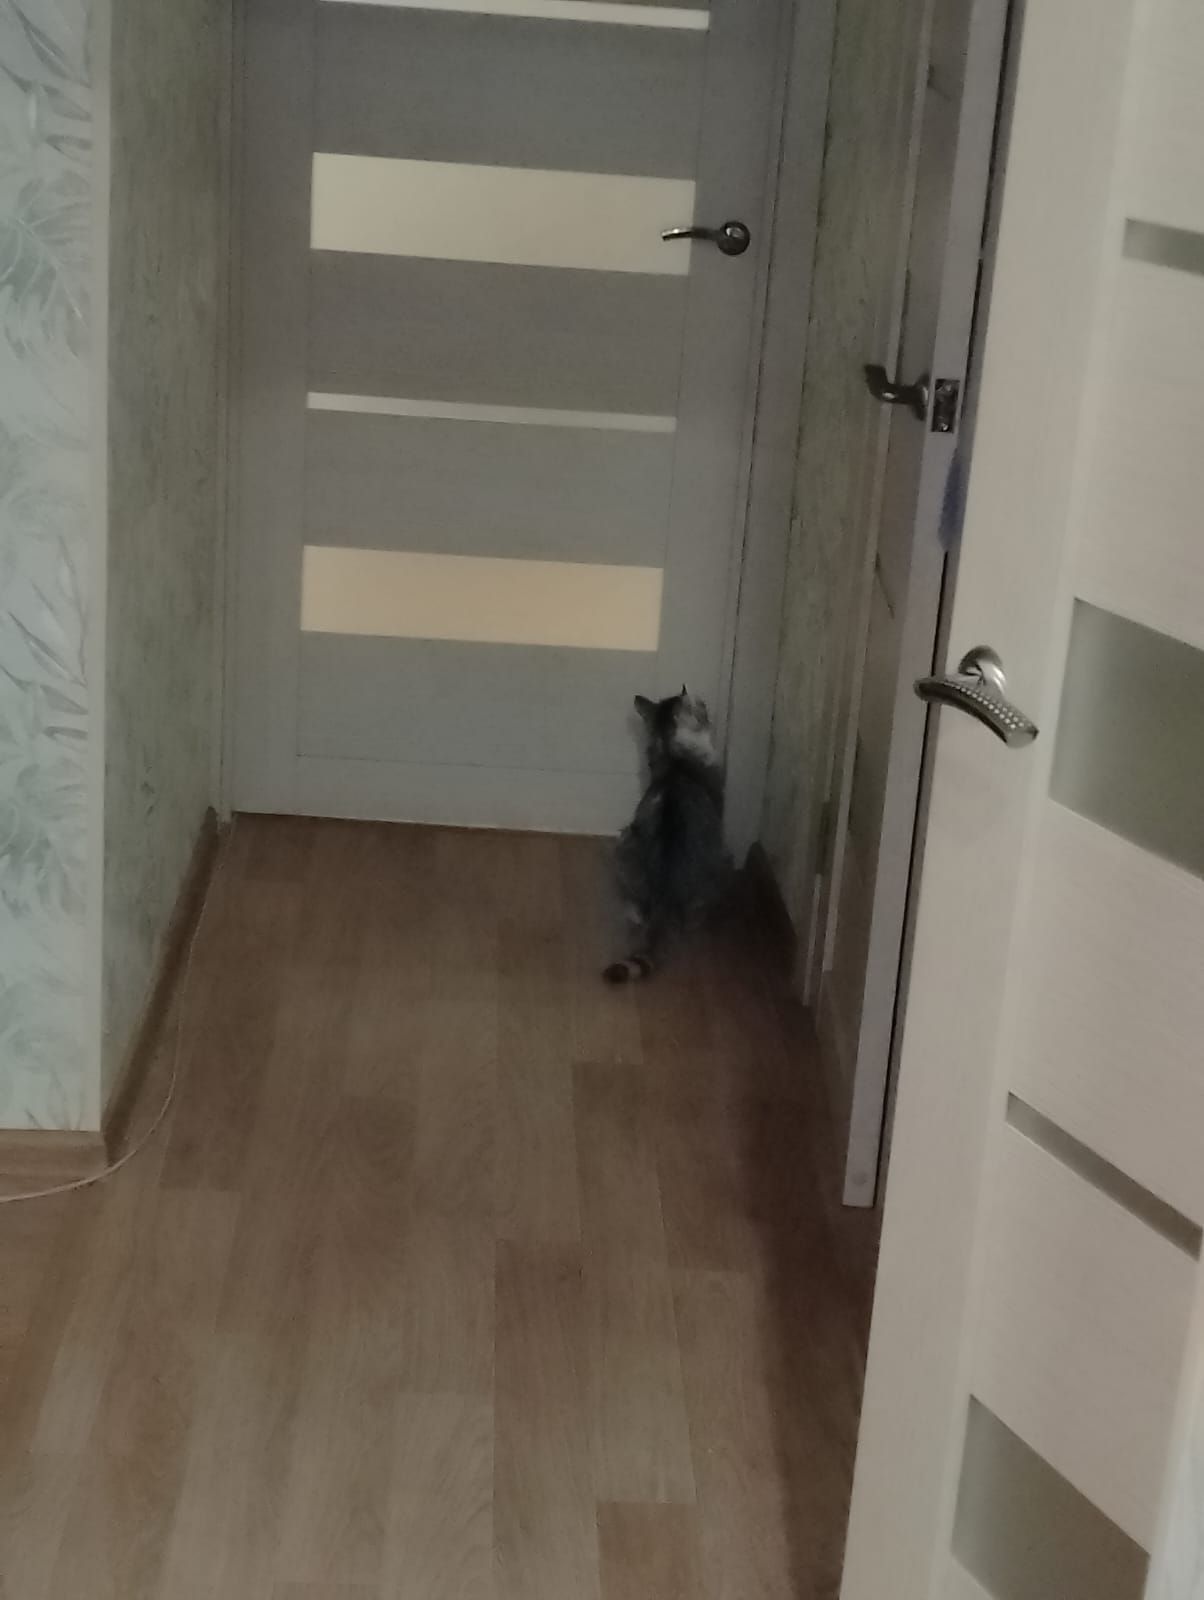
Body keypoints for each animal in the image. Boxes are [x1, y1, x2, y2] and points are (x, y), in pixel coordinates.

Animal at [604, 687, 731, 983]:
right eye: (702, 707)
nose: (708, 710)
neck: (674, 754)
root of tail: (666, 892)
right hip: (718, 864)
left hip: (625, 842)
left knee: (638, 910)